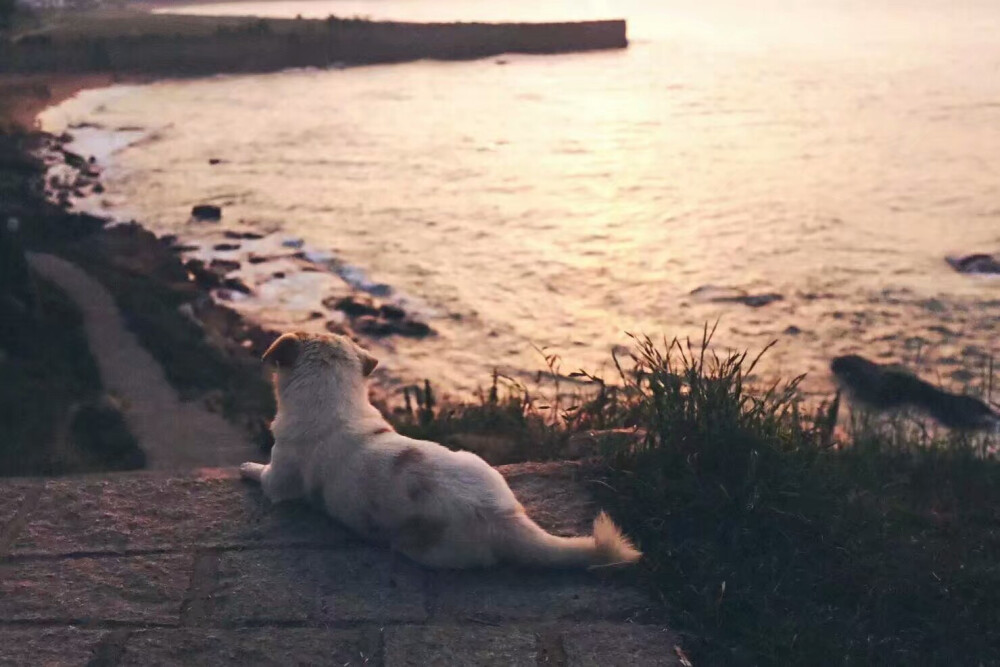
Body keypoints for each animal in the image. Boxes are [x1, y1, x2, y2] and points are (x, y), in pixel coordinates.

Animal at [240, 332, 640, 568]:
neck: (334, 402)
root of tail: (502, 518)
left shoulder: (278, 480)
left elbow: (261, 474)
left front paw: (245, 468)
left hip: (420, 546)